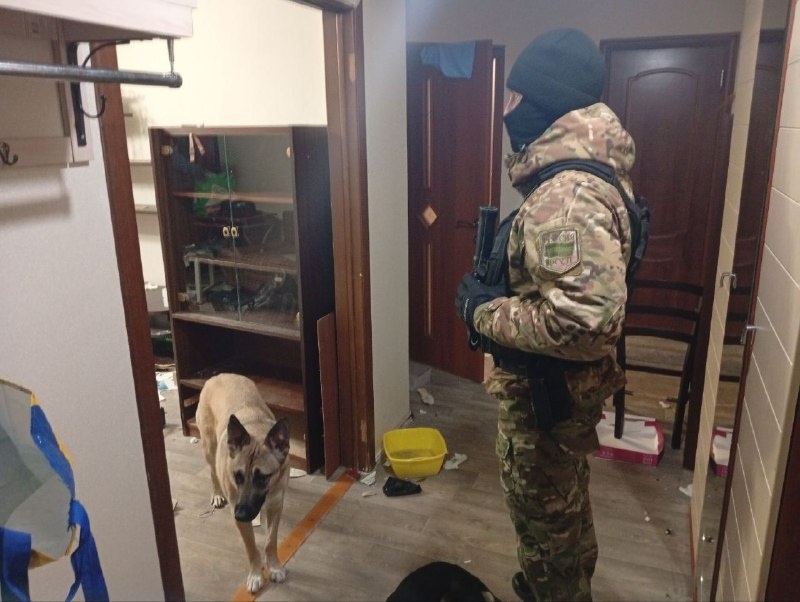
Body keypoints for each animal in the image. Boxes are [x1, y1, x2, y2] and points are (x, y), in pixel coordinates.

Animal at [196, 373, 290, 593]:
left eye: (262, 478)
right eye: (237, 476)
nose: (239, 514)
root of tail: (218, 375)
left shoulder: (275, 505)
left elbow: (270, 540)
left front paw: (274, 566)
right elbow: (251, 547)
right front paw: (256, 574)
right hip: (209, 448)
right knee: (212, 472)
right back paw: (216, 494)